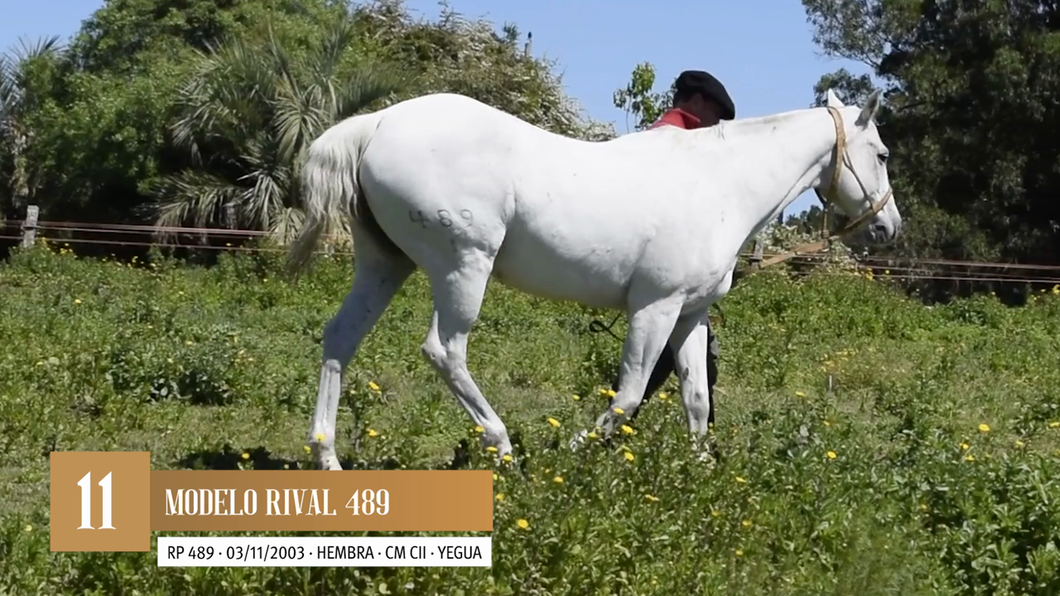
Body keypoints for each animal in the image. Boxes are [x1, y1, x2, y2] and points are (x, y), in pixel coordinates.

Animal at [286, 89, 898, 468]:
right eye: (884, 154)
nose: (888, 227)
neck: (720, 184)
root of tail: (376, 124)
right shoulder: (654, 308)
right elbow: (627, 395)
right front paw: (570, 451)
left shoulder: (690, 315)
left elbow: (697, 400)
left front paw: (702, 474)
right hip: (463, 266)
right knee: (445, 350)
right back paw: (504, 449)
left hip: (386, 264)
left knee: (341, 338)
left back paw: (327, 457)